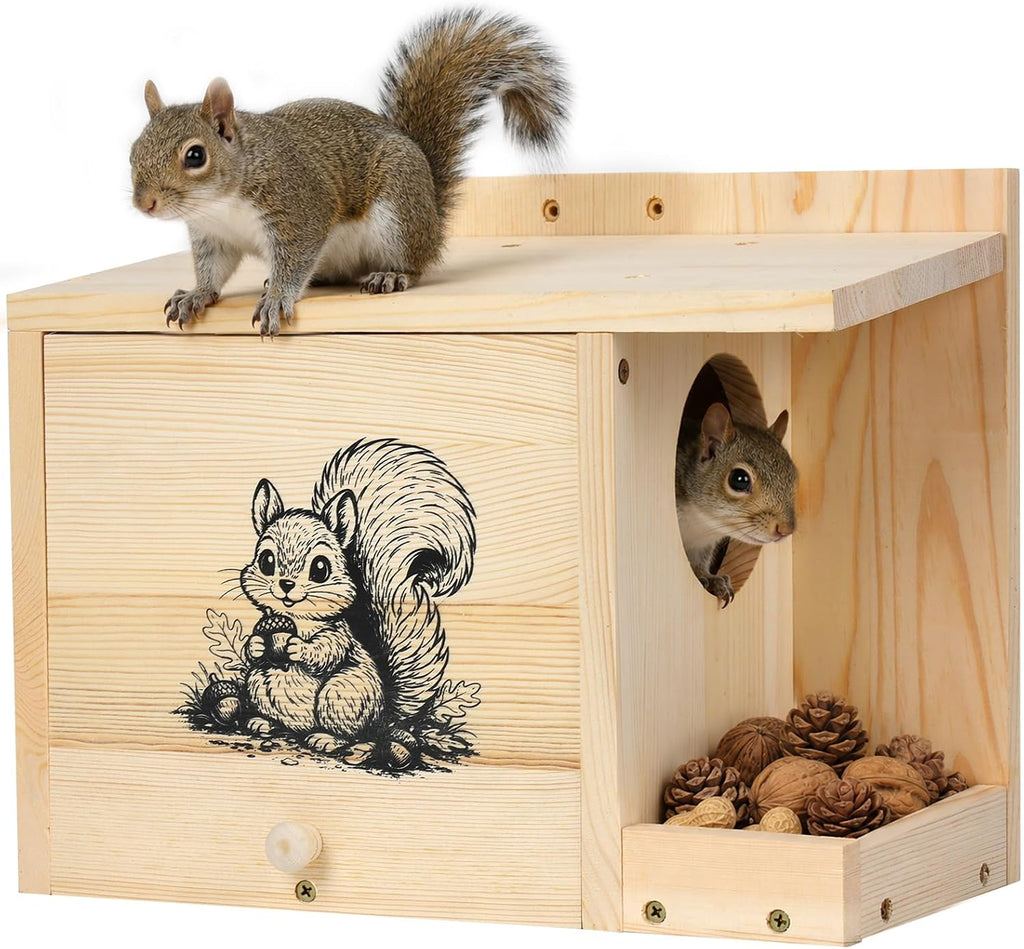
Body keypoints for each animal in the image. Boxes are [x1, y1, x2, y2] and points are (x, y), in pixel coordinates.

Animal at [129, 8, 570, 335]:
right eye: (133, 151)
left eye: (195, 156)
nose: (144, 204)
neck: (220, 204)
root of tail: (431, 209)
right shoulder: (214, 237)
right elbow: (213, 271)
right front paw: (197, 294)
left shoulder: (298, 207)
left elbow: (296, 254)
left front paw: (277, 298)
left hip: (398, 211)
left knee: (416, 263)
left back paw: (390, 276)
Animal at [235, 438, 475, 764]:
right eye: (266, 561)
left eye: (320, 568)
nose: (285, 585)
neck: (296, 619)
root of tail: (383, 717)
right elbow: (255, 645)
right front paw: (257, 645)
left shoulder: (339, 635)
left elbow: (326, 651)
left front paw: (298, 647)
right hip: (259, 684)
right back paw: (263, 722)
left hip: (342, 693)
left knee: (348, 733)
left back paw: (326, 738)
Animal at [675, 402, 797, 608]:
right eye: (739, 479)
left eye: (794, 476)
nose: (786, 529)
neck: (700, 522)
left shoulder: (703, 545)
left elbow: (700, 563)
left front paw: (712, 579)